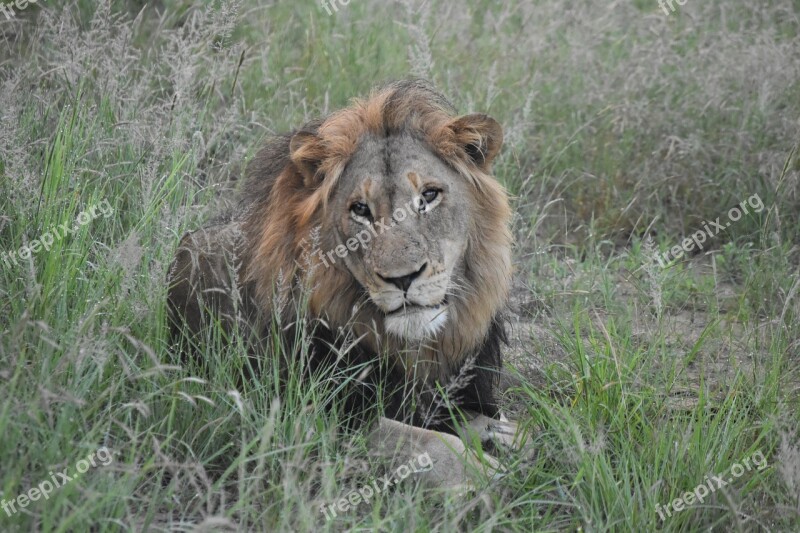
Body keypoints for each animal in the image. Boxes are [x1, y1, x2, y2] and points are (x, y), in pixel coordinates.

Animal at [166, 80, 520, 490]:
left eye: (429, 196)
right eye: (360, 210)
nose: (403, 277)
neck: (412, 347)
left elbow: (485, 422)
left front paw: (512, 437)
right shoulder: (315, 414)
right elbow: (423, 441)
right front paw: (484, 472)